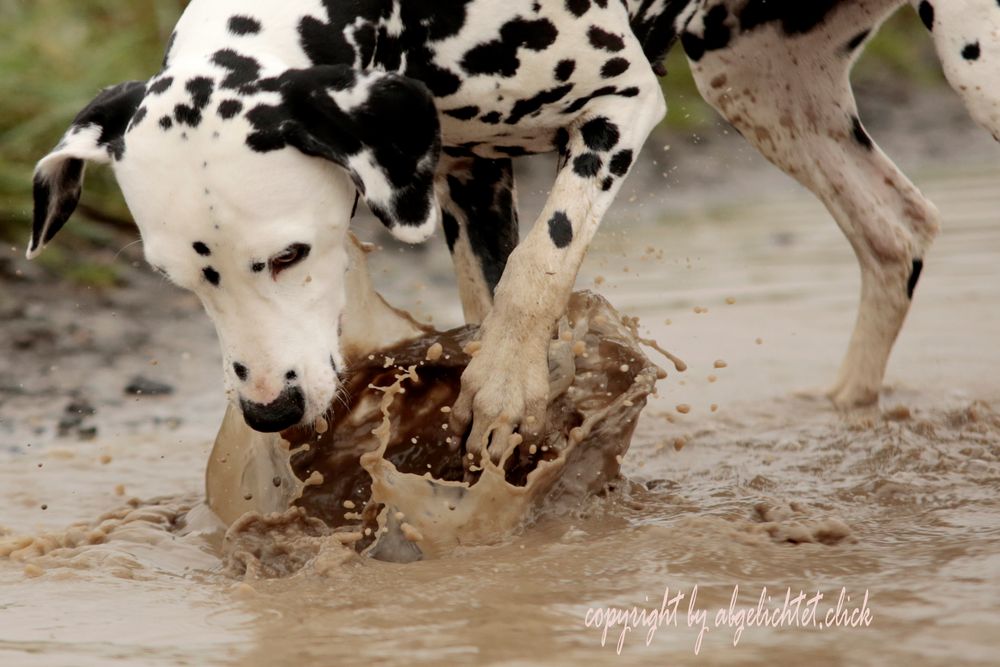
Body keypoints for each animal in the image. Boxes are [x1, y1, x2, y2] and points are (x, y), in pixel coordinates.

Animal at [27, 0, 1000, 460]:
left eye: (289, 254)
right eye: (179, 281)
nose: (271, 409)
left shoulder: (618, 105)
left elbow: (541, 264)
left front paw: (503, 388)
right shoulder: (465, 171)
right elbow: (490, 297)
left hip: (976, 65)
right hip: (757, 83)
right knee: (897, 230)